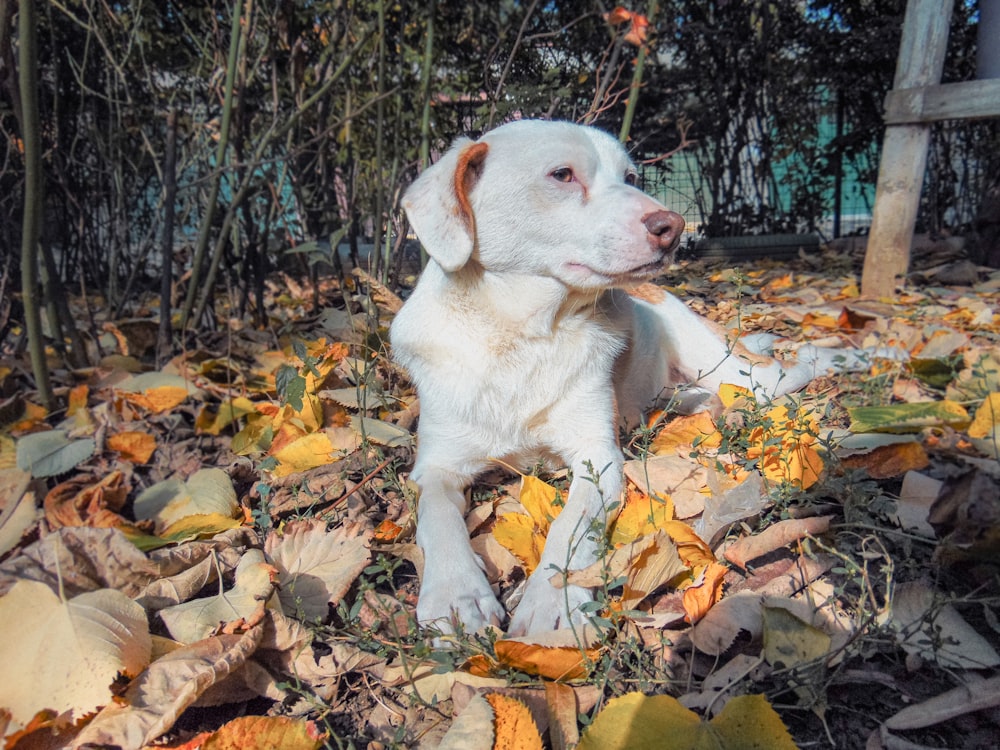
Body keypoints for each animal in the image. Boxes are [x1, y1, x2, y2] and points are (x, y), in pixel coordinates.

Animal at [390, 120, 884, 636]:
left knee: (800, 362)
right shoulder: (436, 467)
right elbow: (436, 517)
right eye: (562, 174)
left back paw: (865, 355)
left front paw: (551, 601)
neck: (522, 336)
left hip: (749, 376)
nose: (674, 227)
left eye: (630, 176)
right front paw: (456, 595)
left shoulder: (598, 458)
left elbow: (569, 530)